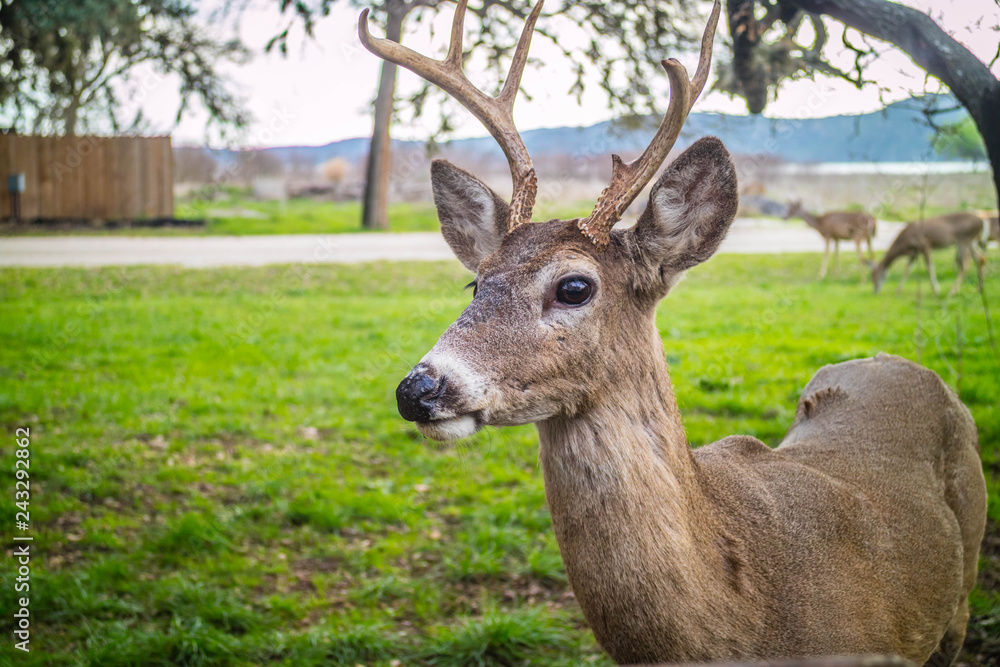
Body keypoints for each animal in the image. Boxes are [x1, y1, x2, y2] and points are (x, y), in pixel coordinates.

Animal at [364, 2, 988, 664]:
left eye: (574, 287)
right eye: (475, 283)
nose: (418, 389)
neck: (736, 615)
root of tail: (899, 361)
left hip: (963, 585)